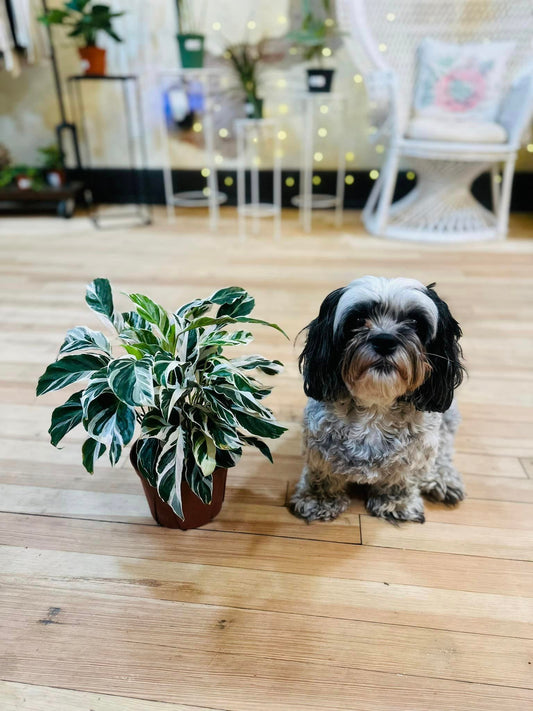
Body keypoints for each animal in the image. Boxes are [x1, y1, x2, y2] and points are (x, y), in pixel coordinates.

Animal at [288, 276, 464, 524]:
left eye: (415, 322)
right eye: (357, 319)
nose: (384, 340)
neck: (375, 406)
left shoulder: (414, 453)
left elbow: (400, 479)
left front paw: (396, 502)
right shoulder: (320, 448)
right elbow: (323, 476)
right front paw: (319, 500)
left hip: (447, 418)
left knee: (444, 450)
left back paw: (442, 478)